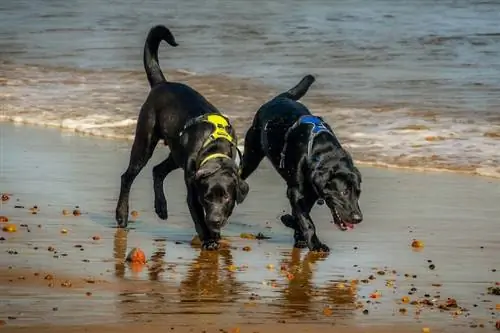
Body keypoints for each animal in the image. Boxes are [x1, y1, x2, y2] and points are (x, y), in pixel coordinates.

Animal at [115, 25, 248, 249]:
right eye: (207, 197)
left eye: (226, 198)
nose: (215, 220)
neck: (215, 149)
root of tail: (162, 84)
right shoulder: (193, 192)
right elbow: (198, 216)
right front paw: (208, 238)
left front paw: (215, 234)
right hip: (145, 142)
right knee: (128, 177)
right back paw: (121, 215)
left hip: (177, 154)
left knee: (158, 170)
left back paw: (161, 207)